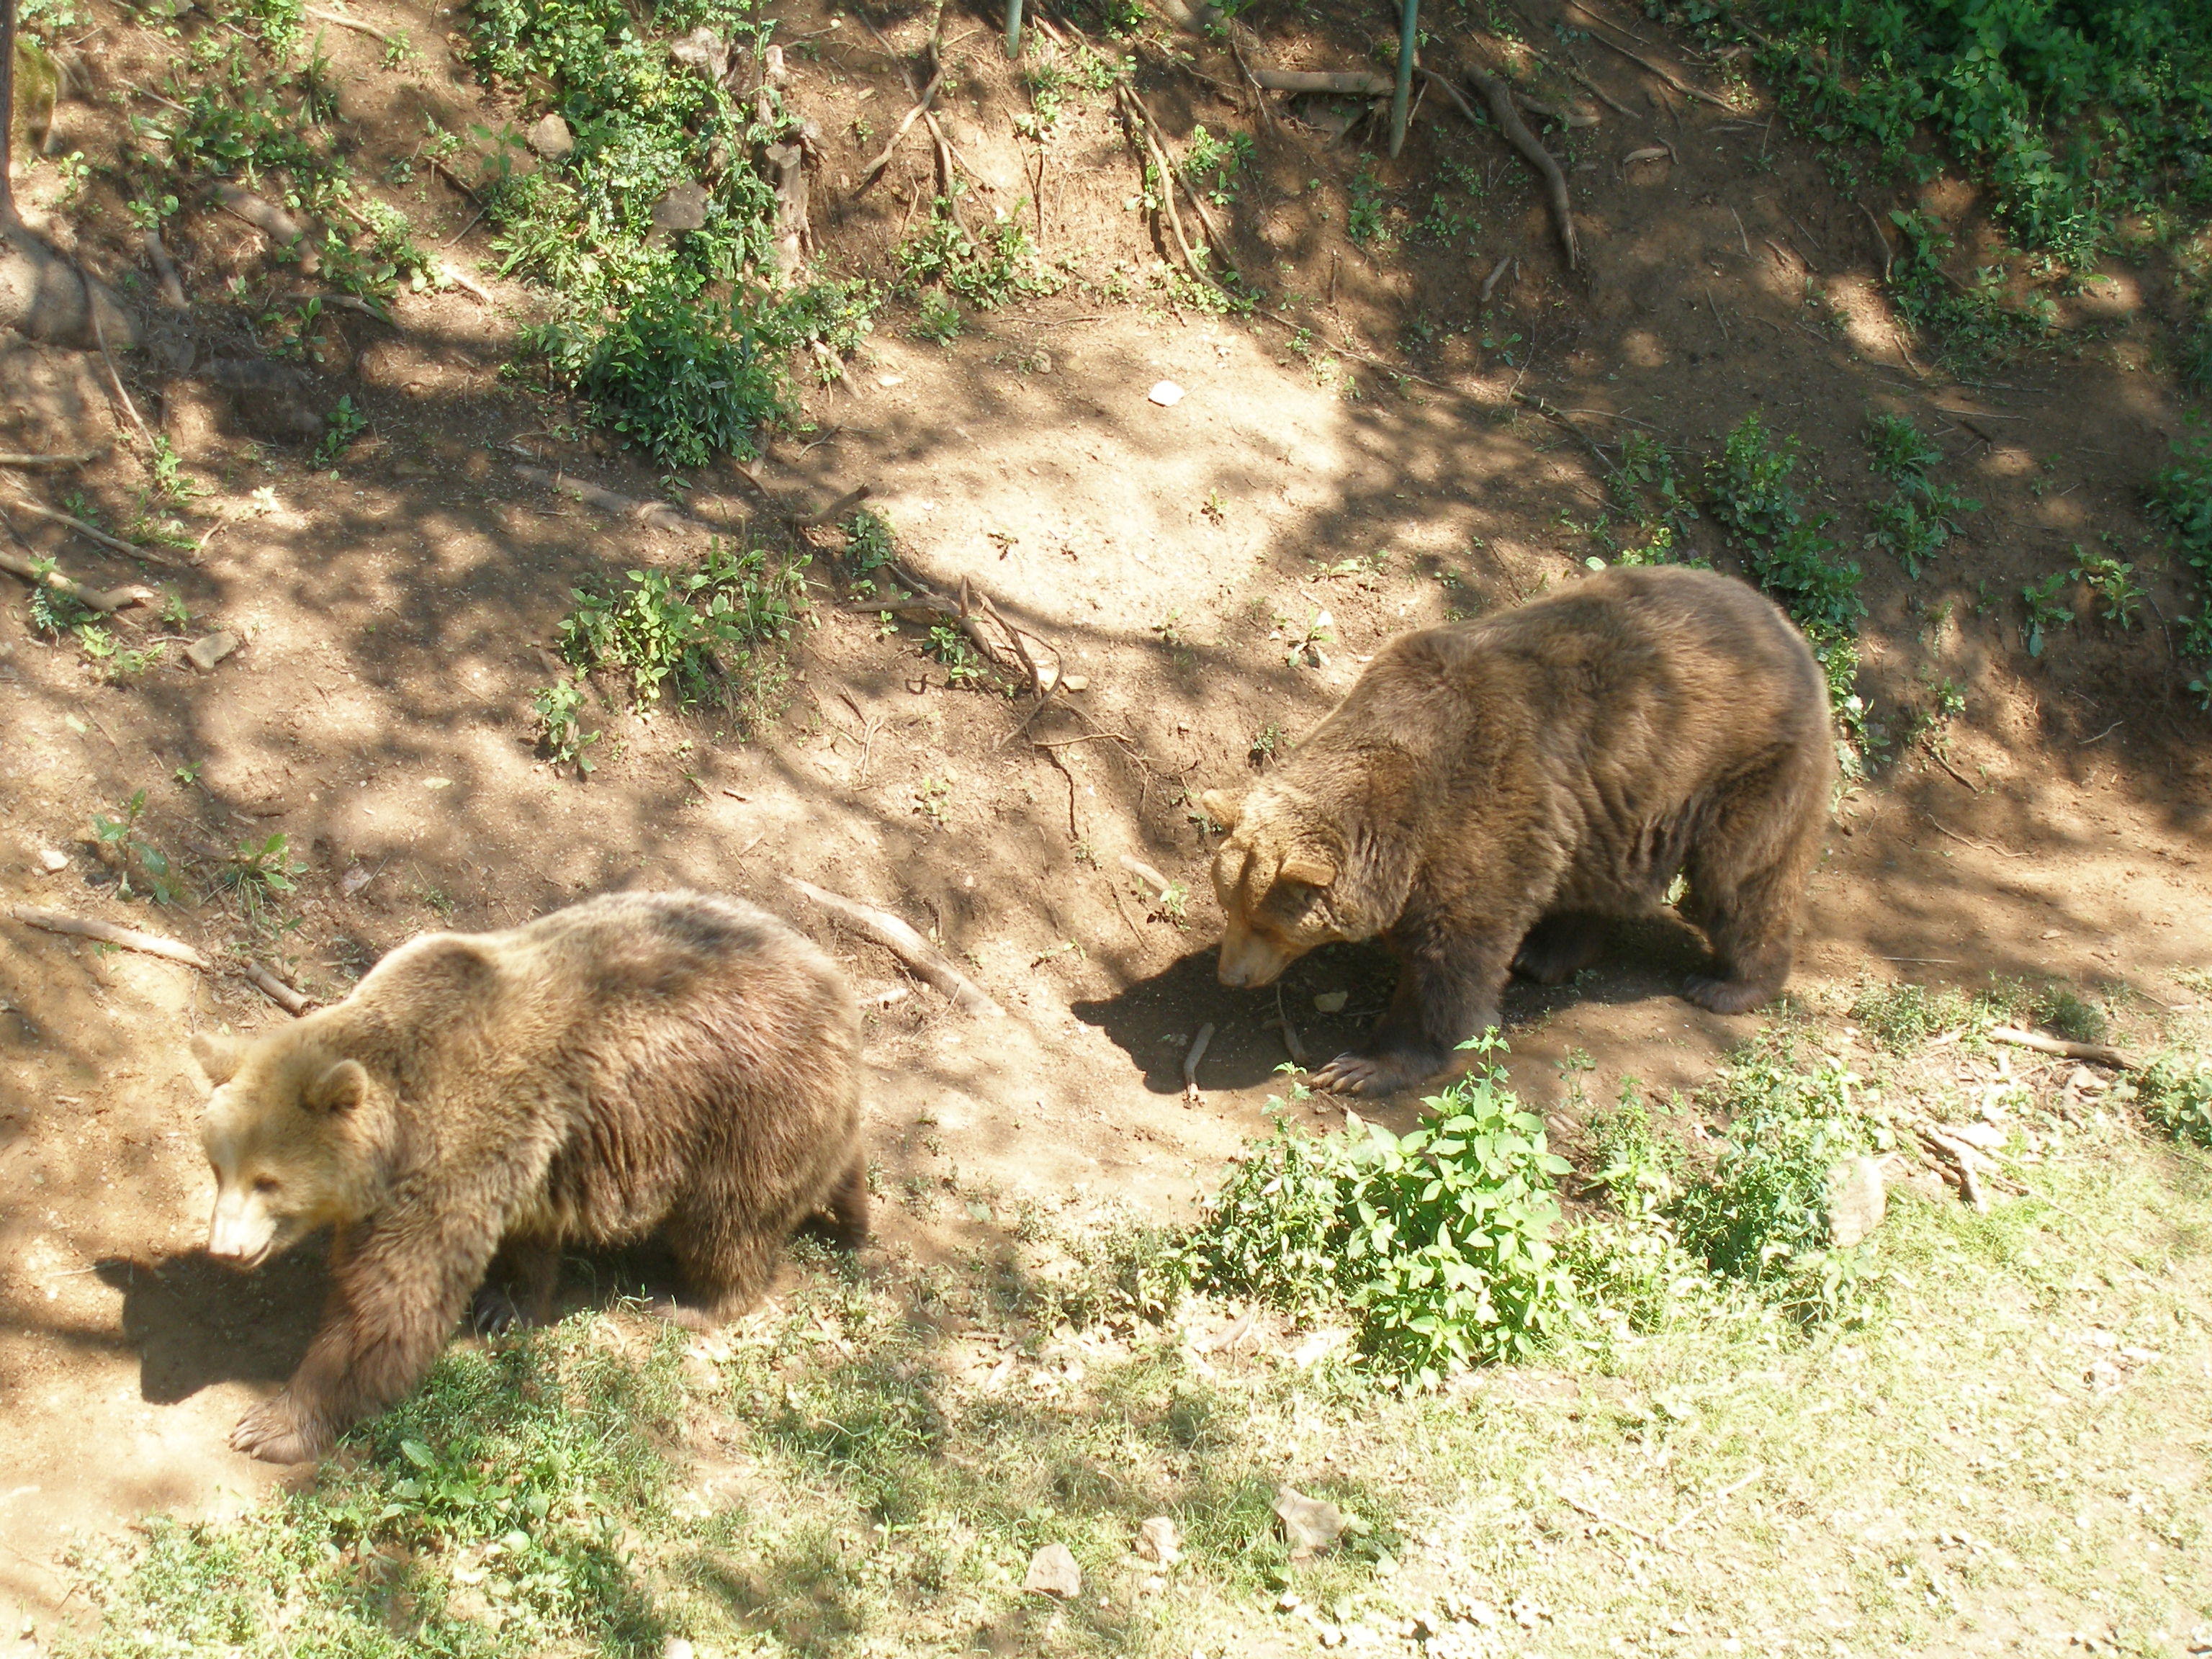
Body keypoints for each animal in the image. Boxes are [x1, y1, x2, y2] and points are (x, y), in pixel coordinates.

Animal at [190, 889, 867, 1460]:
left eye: (267, 1181)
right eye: (218, 1165)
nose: (224, 1249)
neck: (397, 1131)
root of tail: (836, 981)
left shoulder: (451, 1151)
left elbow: (390, 1301)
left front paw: (273, 1423)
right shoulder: (525, 1152)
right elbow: (523, 1235)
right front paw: (505, 1304)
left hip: (744, 1107)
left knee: (727, 1221)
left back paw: (693, 1302)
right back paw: (854, 1213)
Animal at [1203, 566, 1840, 1097]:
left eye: (1269, 923)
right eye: (1229, 903)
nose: (1231, 976)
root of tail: (1785, 625)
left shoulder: (1479, 809)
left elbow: (1454, 962)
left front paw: (1364, 1064)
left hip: (1742, 764)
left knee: (1742, 879)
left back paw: (1729, 984)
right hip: (1613, 806)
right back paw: (1548, 953)